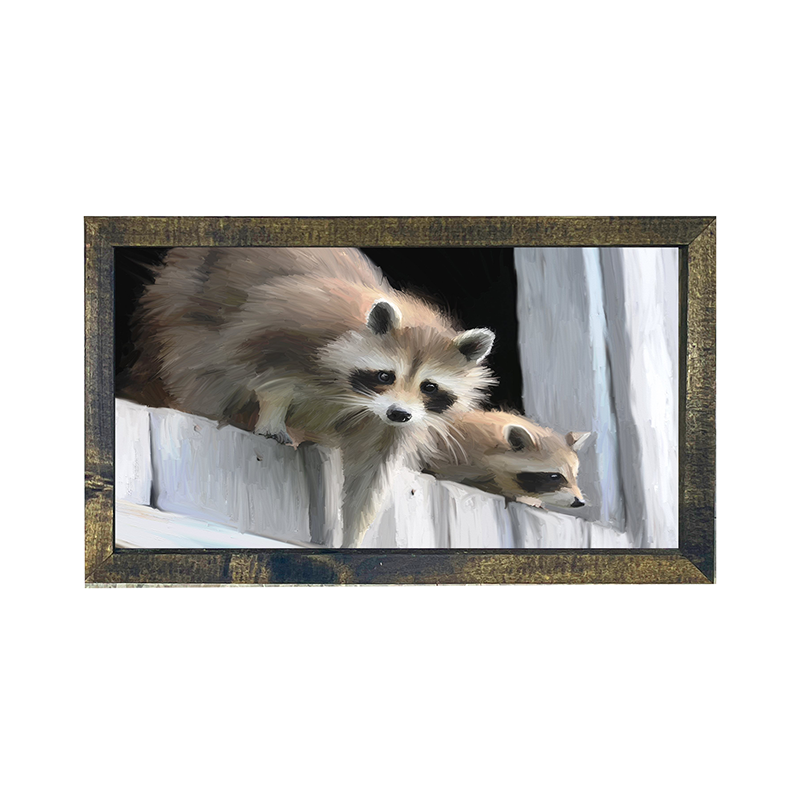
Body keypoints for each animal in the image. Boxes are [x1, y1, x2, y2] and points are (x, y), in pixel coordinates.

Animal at [122, 247, 496, 546]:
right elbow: (268, 371)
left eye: (429, 387)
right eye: (385, 376)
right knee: (201, 376)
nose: (399, 413)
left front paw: (353, 534)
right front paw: (273, 413)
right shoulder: (290, 324)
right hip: (179, 321)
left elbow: (369, 474)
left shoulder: (387, 424)